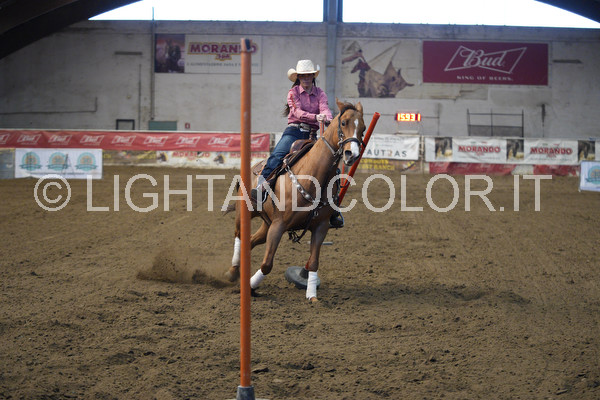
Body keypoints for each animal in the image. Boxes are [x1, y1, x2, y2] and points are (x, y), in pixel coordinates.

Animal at [226, 99, 366, 302]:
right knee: (239, 235)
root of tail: (254, 166)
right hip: (245, 212)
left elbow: (313, 262)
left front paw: (312, 295)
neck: (313, 176)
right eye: (344, 122)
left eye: (363, 128)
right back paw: (232, 272)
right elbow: (267, 264)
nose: (352, 154)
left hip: (267, 224)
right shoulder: (279, 225)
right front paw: (250, 287)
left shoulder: (321, 226)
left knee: (250, 241)